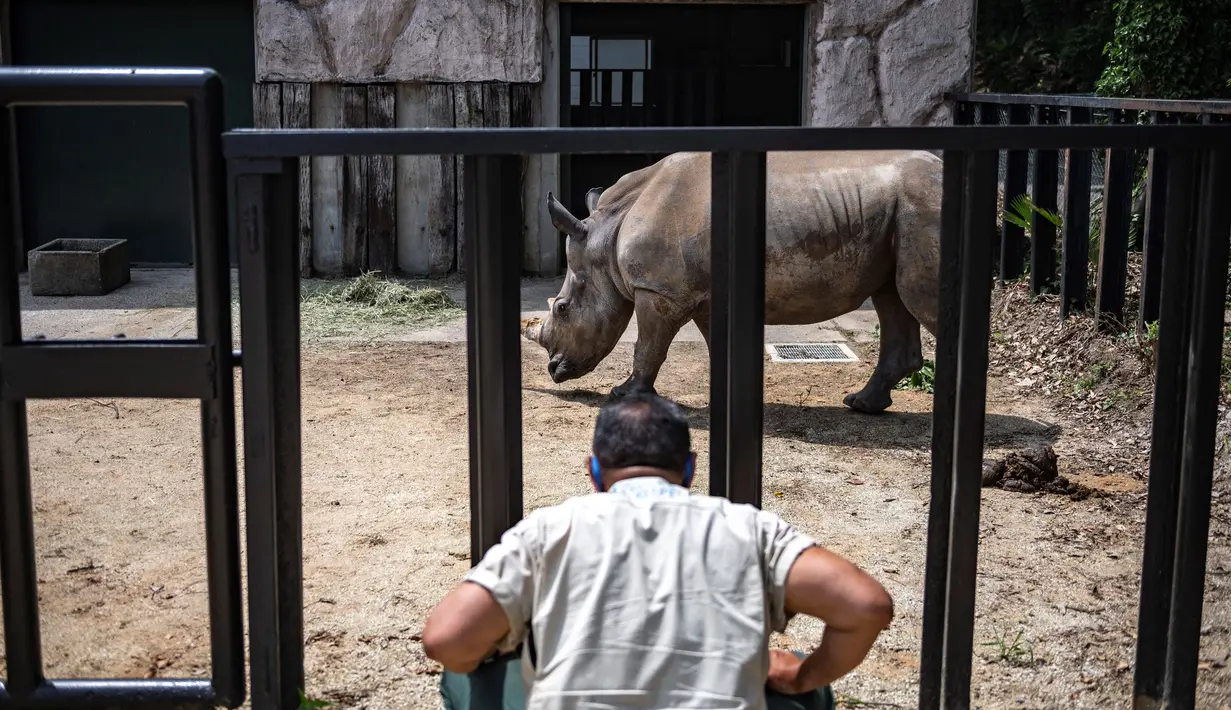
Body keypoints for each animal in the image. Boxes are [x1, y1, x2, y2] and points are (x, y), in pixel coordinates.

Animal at [521, 150, 940, 415]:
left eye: (562, 308)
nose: (554, 371)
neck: (607, 237)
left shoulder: (657, 290)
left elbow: (647, 347)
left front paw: (622, 394)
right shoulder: (701, 293)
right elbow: (715, 345)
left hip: (923, 207)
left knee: (918, 298)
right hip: (896, 220)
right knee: (891, 297)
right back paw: (862, 405)